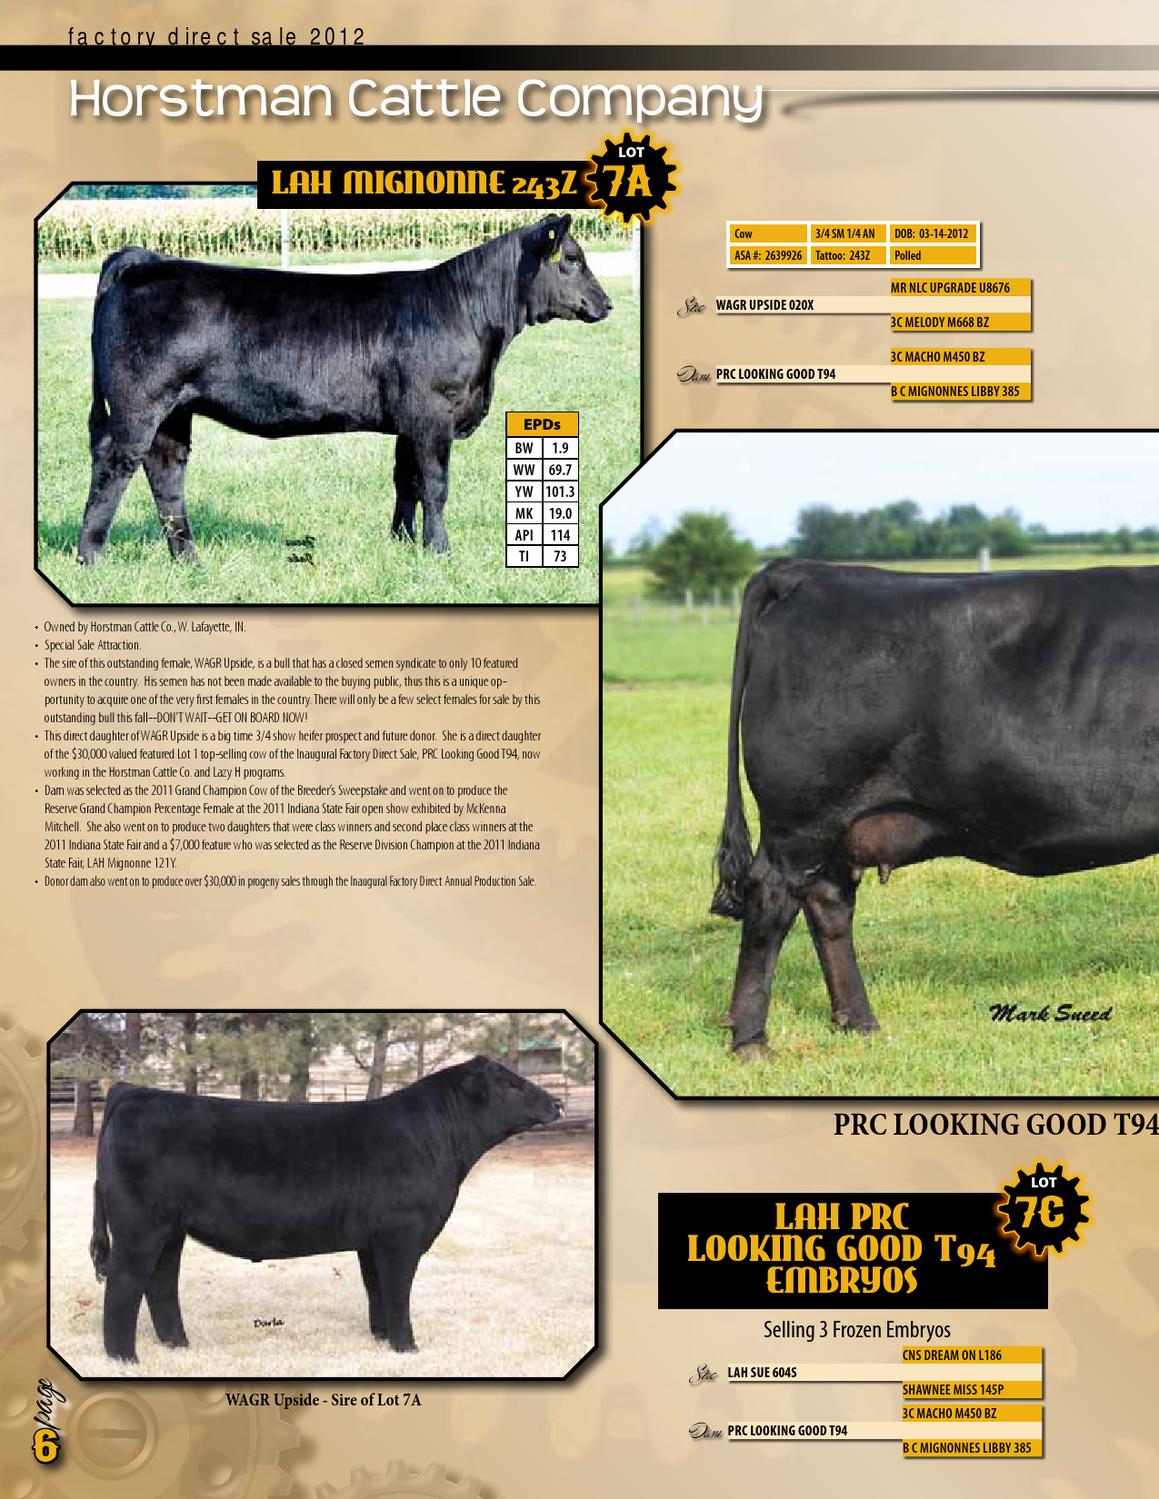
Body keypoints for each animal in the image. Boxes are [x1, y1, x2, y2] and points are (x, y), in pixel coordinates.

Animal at [76, 213, 612, 565]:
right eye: (570, 259)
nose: (605, 303)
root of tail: (143, 258)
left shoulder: (408, 421)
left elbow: (406, 481)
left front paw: (402, 543)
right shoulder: (432, 413)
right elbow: (435, 485)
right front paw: (439, 551)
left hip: (174, 410)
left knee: (166, 471)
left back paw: (187, 558)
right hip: (139, 404)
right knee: (114, 465)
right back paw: (90, 557)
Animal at [89, 1056, 562, 1361]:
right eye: (512, 1084)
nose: (556, 1103)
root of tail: (131, 1091)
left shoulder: (372, 1241)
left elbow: (378, 1290)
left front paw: (382, 1339)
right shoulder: (402, 1234)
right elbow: (399, 1290)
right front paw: (407, 1347)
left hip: (170, 1229)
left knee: (160, 1284)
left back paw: (178, 1347)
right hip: (139, 1227)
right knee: (124, 1285)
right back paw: (124, 1359)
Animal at [712, 559, 1159, 1054]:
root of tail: (803, 570)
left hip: (833, 830)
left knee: (827, 903)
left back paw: (858, 1021)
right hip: (800, 822)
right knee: (772, 901)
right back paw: (751, 1040)